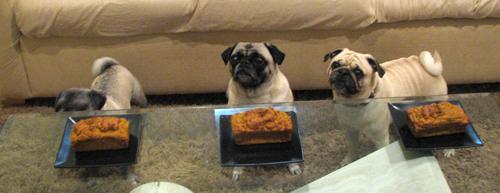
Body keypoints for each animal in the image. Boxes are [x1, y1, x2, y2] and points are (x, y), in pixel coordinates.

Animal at [56, 56, 148, 185]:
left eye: (80, 107)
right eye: (58, 106)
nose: (64, 111)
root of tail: (112, 66)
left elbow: (126, 165)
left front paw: (130, 177)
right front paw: (92, 177)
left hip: (139, 97)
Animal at [223, 41, 300, 179]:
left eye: (259, 60)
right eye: (235, 58)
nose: (244, 62)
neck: (254, 93)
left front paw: (293, 166)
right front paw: (237, 170)